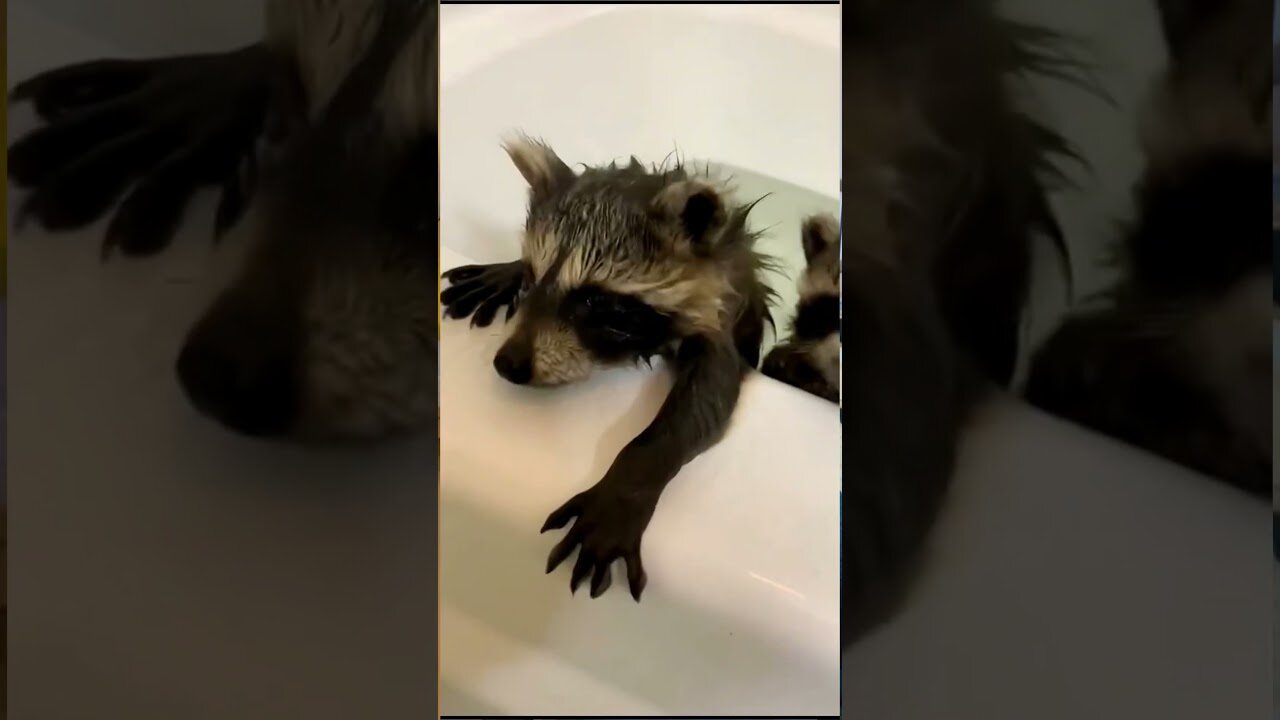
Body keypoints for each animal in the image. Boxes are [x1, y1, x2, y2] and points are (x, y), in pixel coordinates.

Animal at [440, 142, 776, 599]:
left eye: (595, 301)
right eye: (532, 276)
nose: (508, 364)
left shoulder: (724, 317)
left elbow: (709, 396)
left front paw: (626, 486)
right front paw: (506, 271)